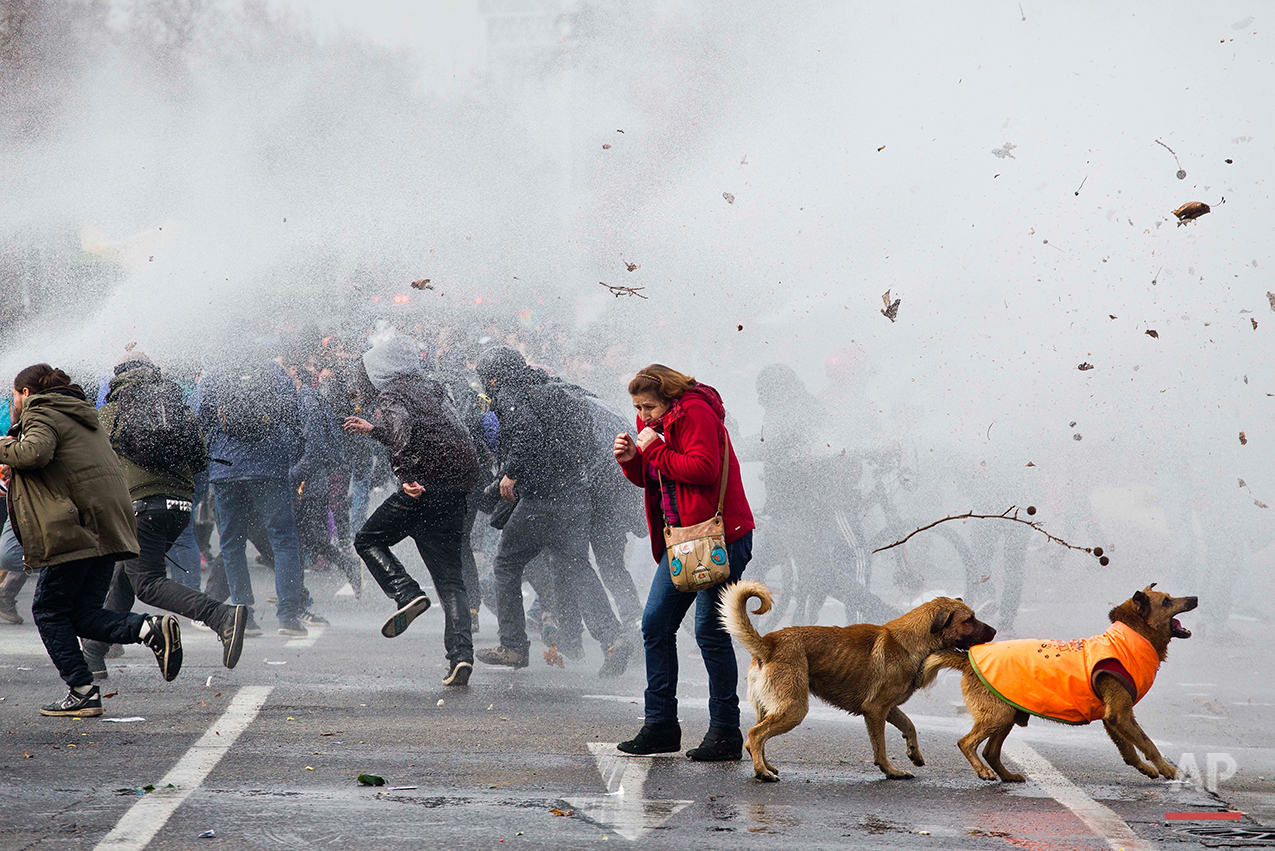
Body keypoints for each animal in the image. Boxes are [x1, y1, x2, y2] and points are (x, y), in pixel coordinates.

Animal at [719, 581, 994, 780]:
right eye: (968, 620)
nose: (994, 632)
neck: (912, 641)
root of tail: (769, 644)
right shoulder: (875, 710)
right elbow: (880, 748)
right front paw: (891, 771)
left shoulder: (888, 708)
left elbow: (909, 725)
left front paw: (913, 752)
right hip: (794, 709)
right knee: (755, 735)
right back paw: (762, 772)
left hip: (771, 707)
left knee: (755, 738)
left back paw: (767, 766)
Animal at [923, 586, 1198, 785]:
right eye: (1166, 601)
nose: (1195, 598)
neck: (1129, 637)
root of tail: (968, 659)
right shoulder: (1121, 714)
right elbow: (1148, 743)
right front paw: (1167, 769)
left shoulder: (1113, 719)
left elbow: (1129, 750)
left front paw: (1147, 769)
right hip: (998, 714)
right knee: (966, 742)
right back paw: (983, 771)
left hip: (1008, 712)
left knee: (991, 751)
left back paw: (1007, 775)